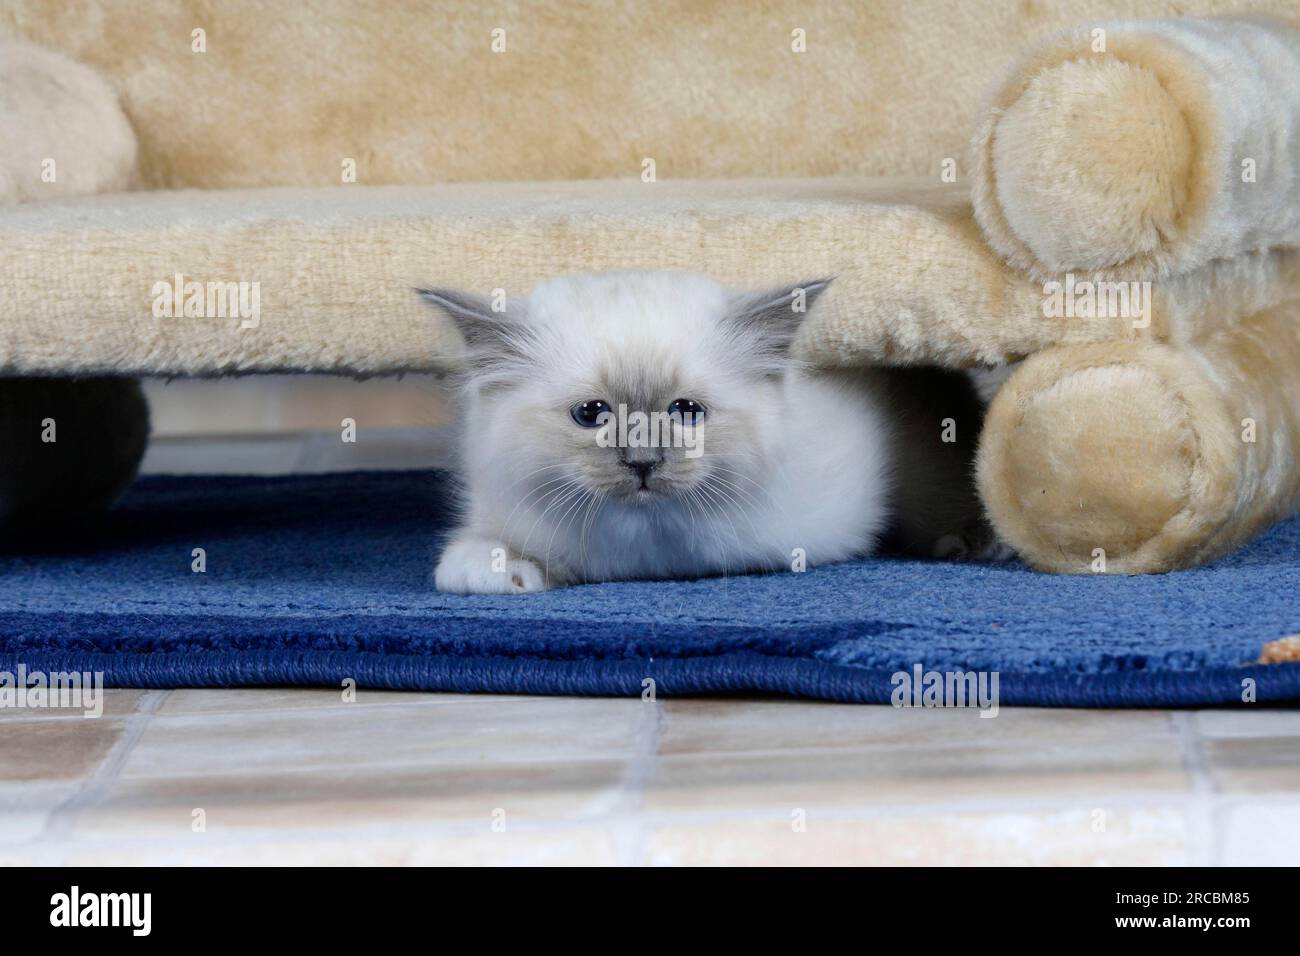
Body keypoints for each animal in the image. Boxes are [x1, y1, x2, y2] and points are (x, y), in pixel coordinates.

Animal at [416, 273, 993, 595]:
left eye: (686, 412)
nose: (643, 462)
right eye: (592, 414)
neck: (645, 544)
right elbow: (469, 557)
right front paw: (507, 575)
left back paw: (974, 545)